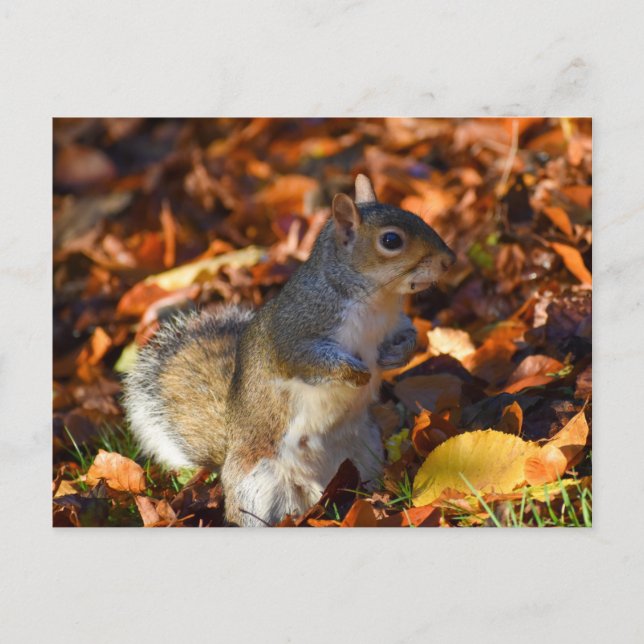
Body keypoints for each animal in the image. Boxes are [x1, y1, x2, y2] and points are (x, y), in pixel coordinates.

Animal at [123, 174, 455, 526]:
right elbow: (309, 360)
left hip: (365, 454)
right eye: (391, 240)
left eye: (415, 215)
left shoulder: (395, 323)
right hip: (257, 484)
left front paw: (396, 356)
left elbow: (409, 335)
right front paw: (355, 372)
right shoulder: (292, 335)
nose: (450, 260)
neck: (378, 300)